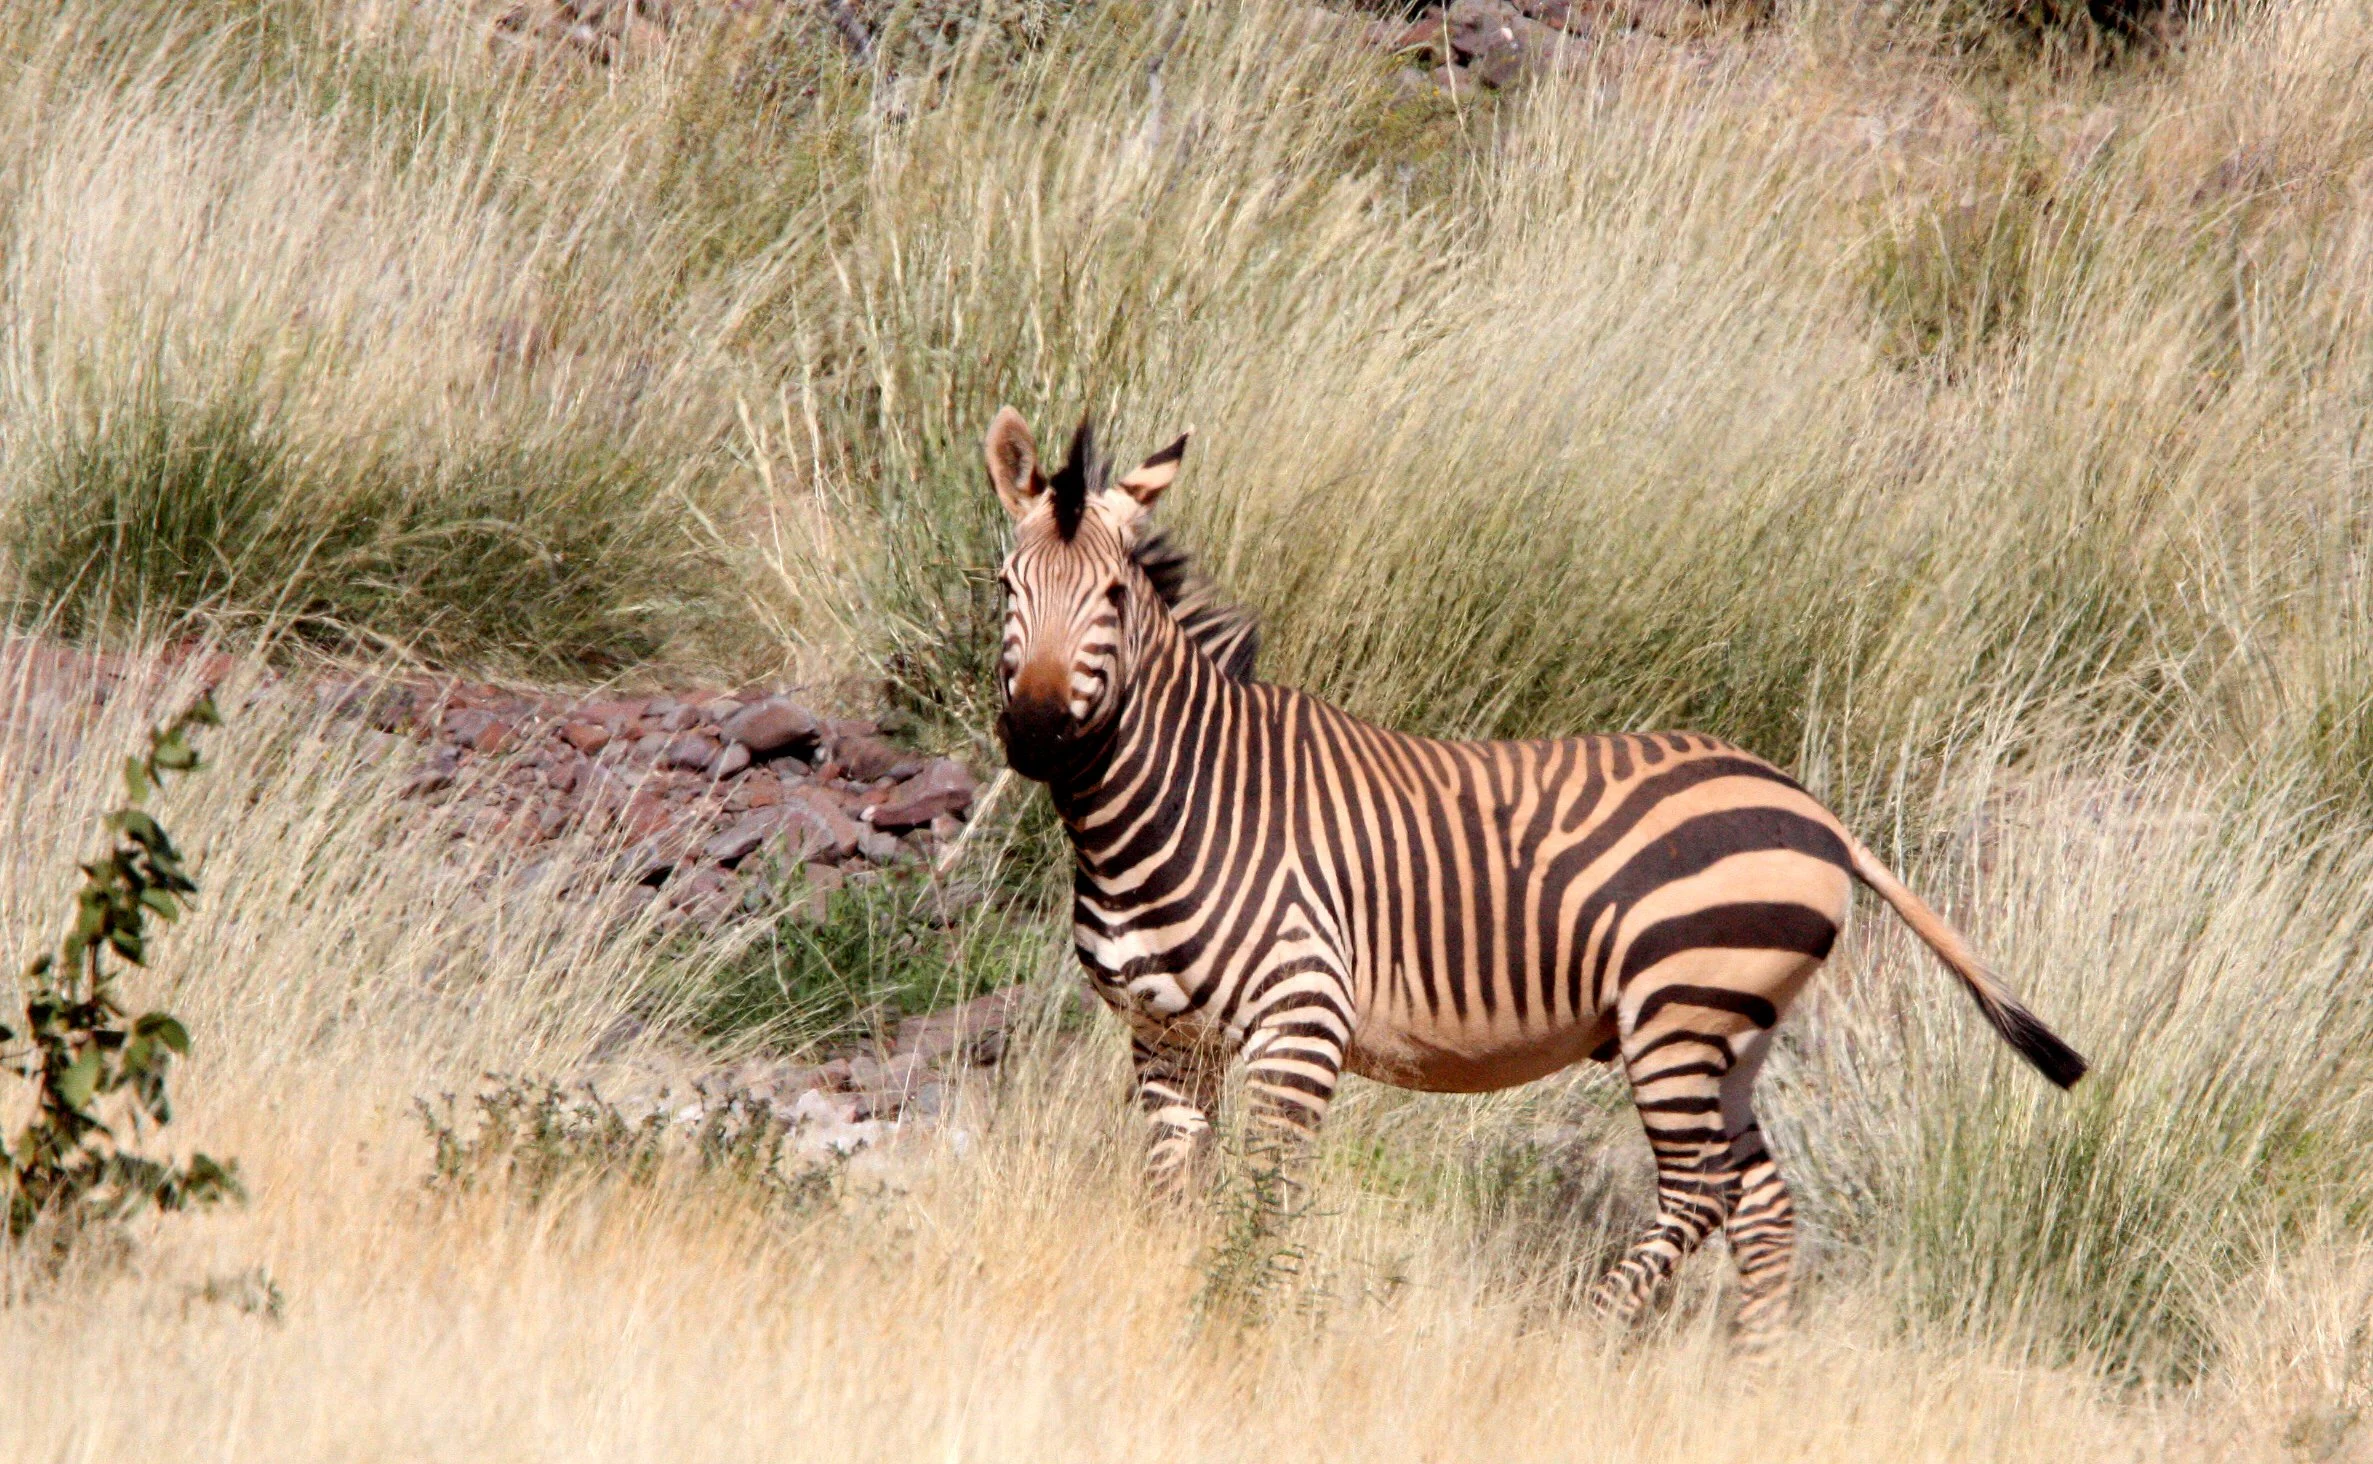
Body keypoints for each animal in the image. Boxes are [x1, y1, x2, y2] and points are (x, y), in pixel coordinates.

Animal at [982, 406, 2087, 1345]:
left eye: (1113, 598)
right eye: (1003, 587)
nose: (1034, 733)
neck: (1163, 812)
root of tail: (1816, 813)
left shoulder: (1301, 1021)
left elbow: (1261, 1199)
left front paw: (1238, 1323)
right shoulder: (1164, 1039)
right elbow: (1170, 1200)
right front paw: (1177, 1304)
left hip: (1678, 1012)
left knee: (1700, 1195)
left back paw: (1580, 1336)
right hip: (1736, 1034)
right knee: (1763, 1205)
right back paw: (1751, 1378)